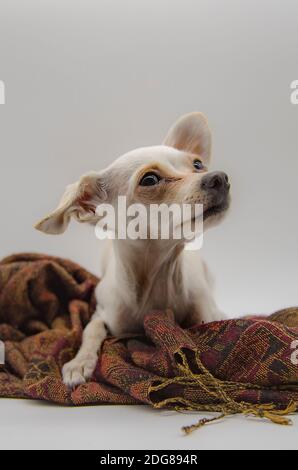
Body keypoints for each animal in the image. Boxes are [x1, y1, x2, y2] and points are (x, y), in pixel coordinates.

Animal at [35, 112, 230, 388]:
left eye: (198, 164)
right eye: (149, 180)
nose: (220, 178)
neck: (156, 284)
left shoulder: (205, 310)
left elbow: (214, 320)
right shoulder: (101, 313)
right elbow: (91, 330)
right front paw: (80, 362)